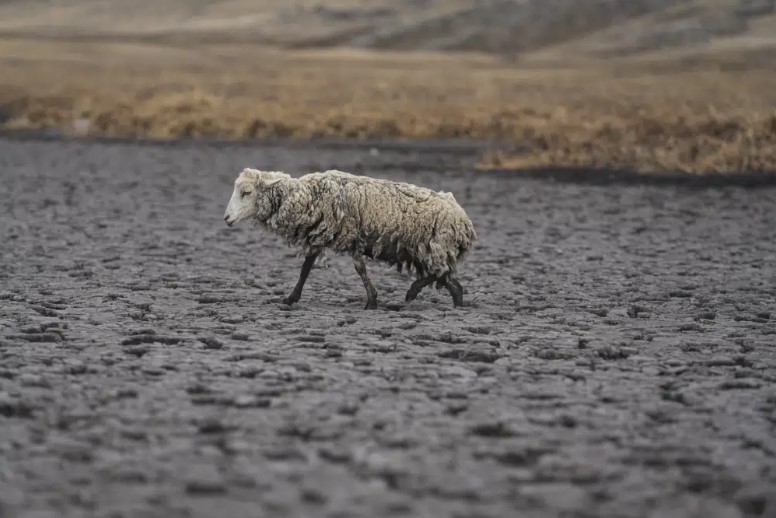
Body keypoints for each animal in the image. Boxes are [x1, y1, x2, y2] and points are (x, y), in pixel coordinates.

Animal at [224, 169, 476, 310]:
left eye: (246, 192)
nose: (226, 219)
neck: (308, 196)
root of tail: (464, 219)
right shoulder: (319, 235)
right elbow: (305, 269)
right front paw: (291, 298)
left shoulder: (352, 235)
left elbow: (359, 269)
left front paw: (372, 301)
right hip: (430, 251)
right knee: (450, 281)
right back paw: (453, 302)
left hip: (433, 247)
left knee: (442, 275)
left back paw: (413, 292)